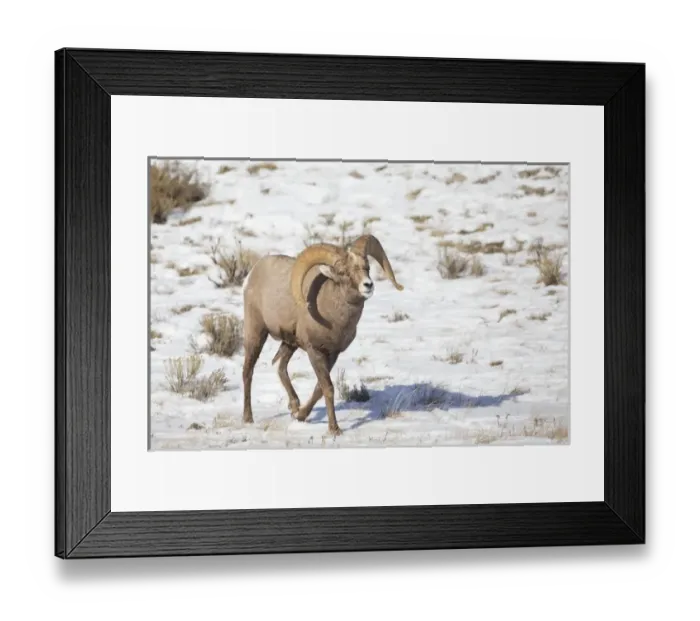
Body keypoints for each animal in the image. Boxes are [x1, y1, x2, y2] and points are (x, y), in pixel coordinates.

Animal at [241, 234, 404, 436]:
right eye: (342, 271)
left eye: (367, 266)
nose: (368, 285)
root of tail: (253, 272)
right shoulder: (315, 351)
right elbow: (328, 388)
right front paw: (334, 429)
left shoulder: (332, 354)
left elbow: (319, 389)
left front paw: (300, 415)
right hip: (256, 334)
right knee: (248, 372)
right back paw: (248, 418)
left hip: (290, 344)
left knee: (281, 368)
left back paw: (294, 406)